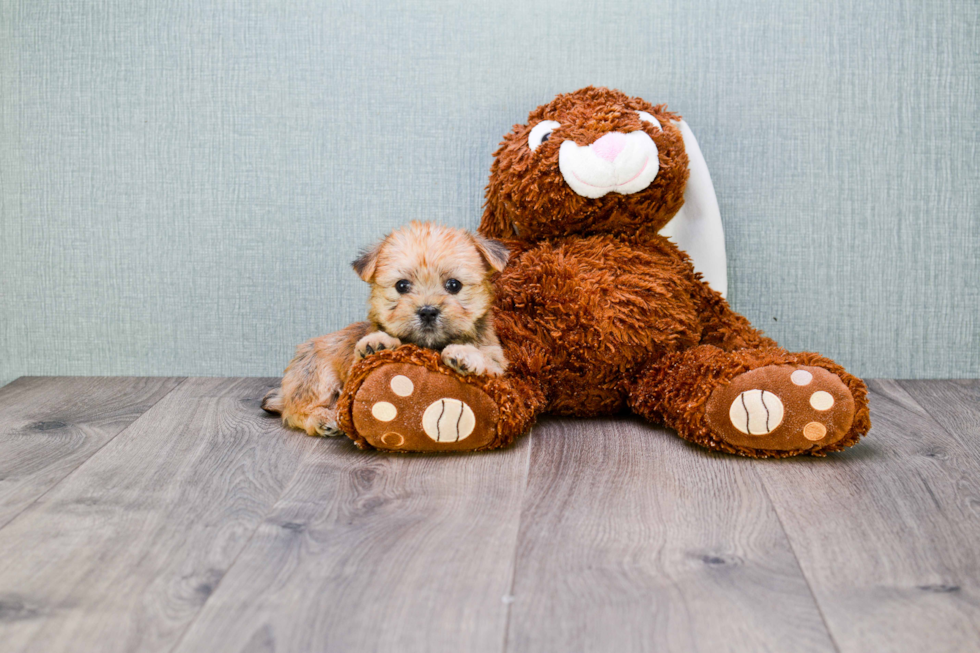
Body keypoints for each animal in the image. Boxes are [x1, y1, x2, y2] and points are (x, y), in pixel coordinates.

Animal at [260, 222, 512, 436]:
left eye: (453, 285)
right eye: (402, 285)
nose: (427, 311)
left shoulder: (500, 367)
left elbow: (487, 359)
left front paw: (463, 353)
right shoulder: (352, 370)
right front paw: (377, 343)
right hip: (316, 374)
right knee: (295, 410)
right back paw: (323, 419)